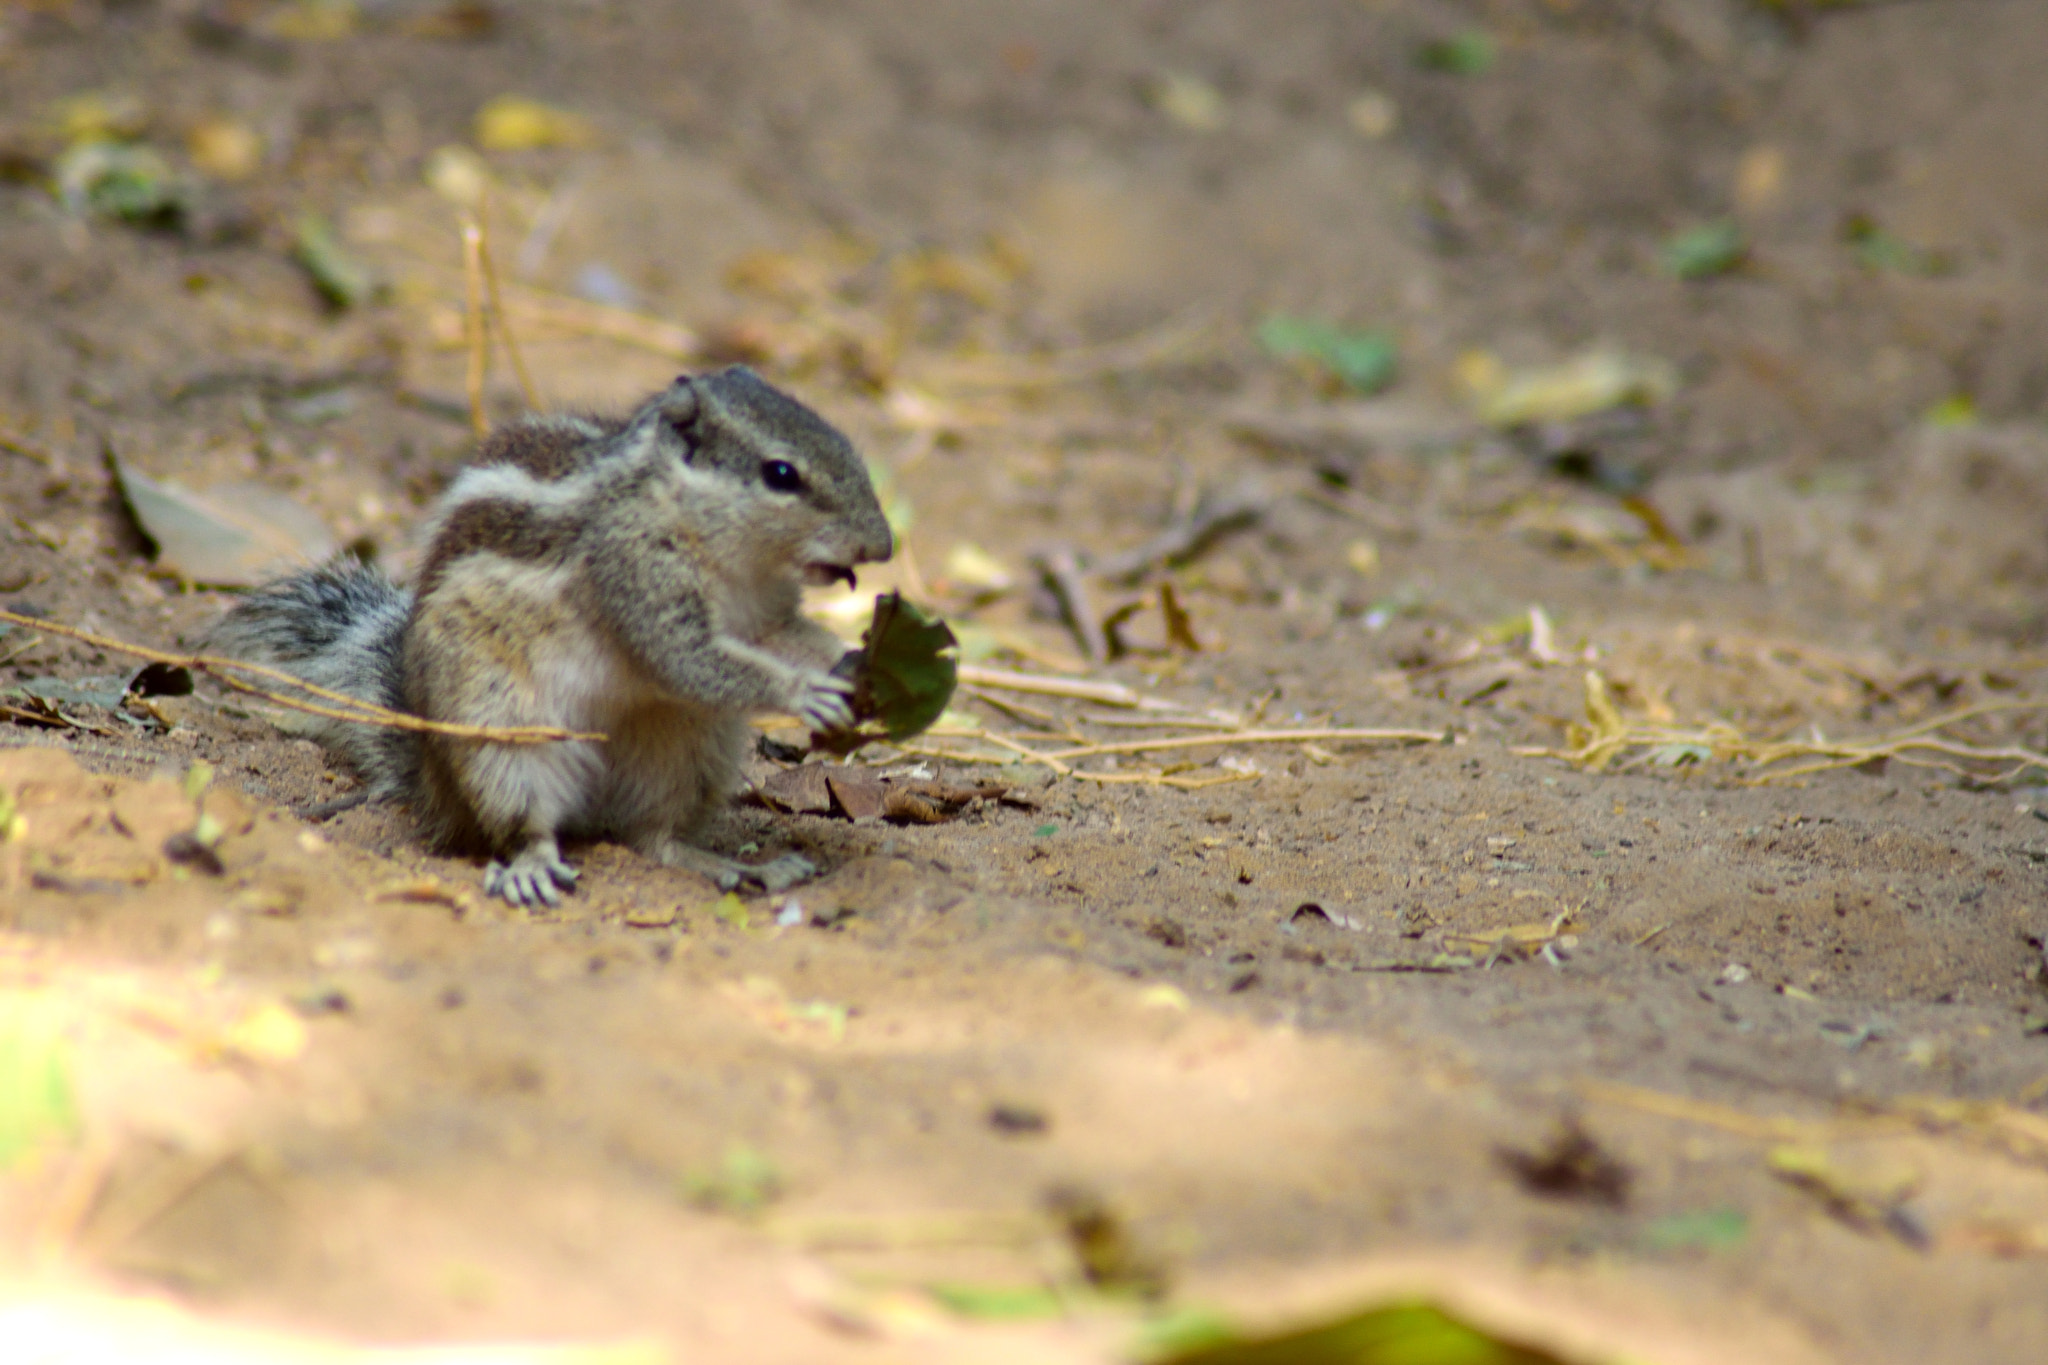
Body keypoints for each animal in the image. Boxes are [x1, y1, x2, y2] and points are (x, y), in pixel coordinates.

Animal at [208, 366, 894, 907]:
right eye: (781, 474)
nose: (882, 546)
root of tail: (431, 781)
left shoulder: (768, 613)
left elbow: (791, 637)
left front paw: (854, 662)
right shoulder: (633, 577)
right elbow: (688, 659)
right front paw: (807, 692)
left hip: (687, 753)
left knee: (655, 840)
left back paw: (742, 867)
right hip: (505, 738)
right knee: (524, 827)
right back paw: (532, 867)